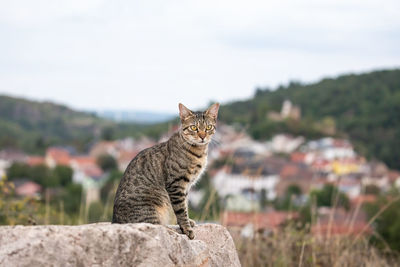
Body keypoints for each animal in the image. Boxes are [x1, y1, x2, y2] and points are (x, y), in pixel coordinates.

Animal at [111, 103, 219, 241]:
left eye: (208, 127)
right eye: (193, 127)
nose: (202, 136)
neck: (198, 152)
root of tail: (115, 221)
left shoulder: (186, 186)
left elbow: (185, 206)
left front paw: (188, 222)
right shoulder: (176, 184)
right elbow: (181, 210)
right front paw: (186, 228)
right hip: (152, 209)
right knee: (156, 228)